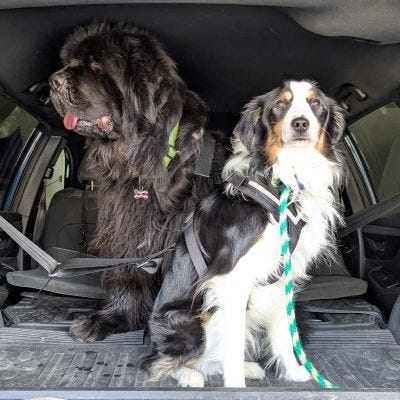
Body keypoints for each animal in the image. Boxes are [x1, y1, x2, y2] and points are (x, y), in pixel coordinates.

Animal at [49, 22, 226, 341]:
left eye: (96, 65)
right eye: (69, 62)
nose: (53, 81)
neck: (142, 158)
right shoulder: (127, 229)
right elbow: (127, 273)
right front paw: (111, 319)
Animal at [143, 80, 345, 387]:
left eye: (316, 104)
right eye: (280, 105)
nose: (300, 123)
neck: (282, 182)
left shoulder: (281, 277)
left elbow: (284, 334)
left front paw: (295, 373)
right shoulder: (232, 279)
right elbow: (234, 343)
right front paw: (236, 387)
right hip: (193, 320)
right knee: (159, 362)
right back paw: (190, 375)